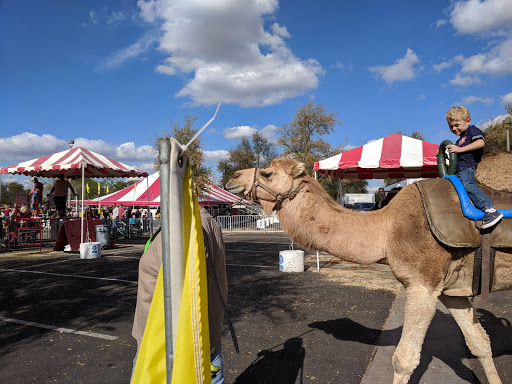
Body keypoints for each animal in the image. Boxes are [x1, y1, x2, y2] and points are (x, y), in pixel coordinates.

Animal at [226, 158, 510, 384]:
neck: (387, 229)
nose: (232, 178)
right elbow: (480, 344)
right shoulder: (453, 291)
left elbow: (404, 360)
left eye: (267, 173)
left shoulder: (422, 285)